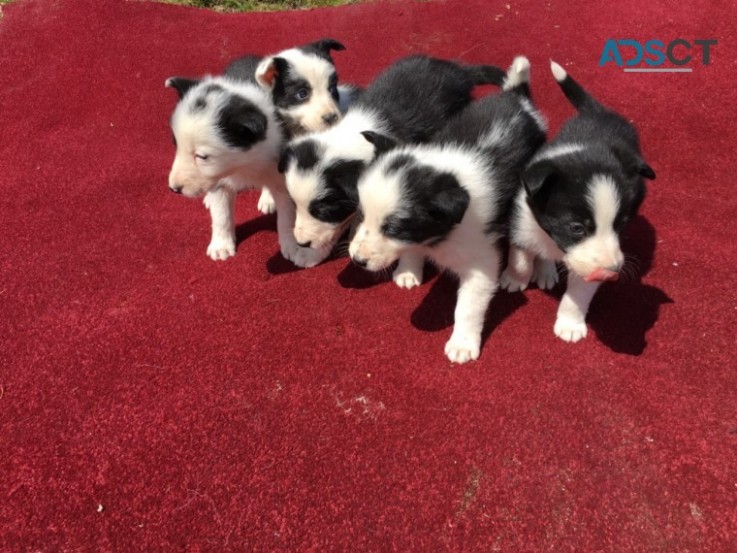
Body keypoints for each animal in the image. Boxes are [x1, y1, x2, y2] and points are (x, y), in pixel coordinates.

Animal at [276, 54, 506, 268]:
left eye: (322, 211)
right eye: (295, 204)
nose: (301, 242)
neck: (353, 134)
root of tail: (456, 70)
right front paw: (312, 253)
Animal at [348, 57, 544, 362]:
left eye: (393, 228)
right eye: (360, 214)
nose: (356, 260)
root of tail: (517, 97)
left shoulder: (482, 263)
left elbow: (468, 307)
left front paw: (462, 344)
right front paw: (409, 270)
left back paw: (522, 273)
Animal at [500, 62, 656, 342]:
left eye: (621, 225)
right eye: (576, 227)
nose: (613, 271)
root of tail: (600, 112)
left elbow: (579, 294)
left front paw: (570, 324)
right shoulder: (522, 218)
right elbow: (521, 256)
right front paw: (514, 278)